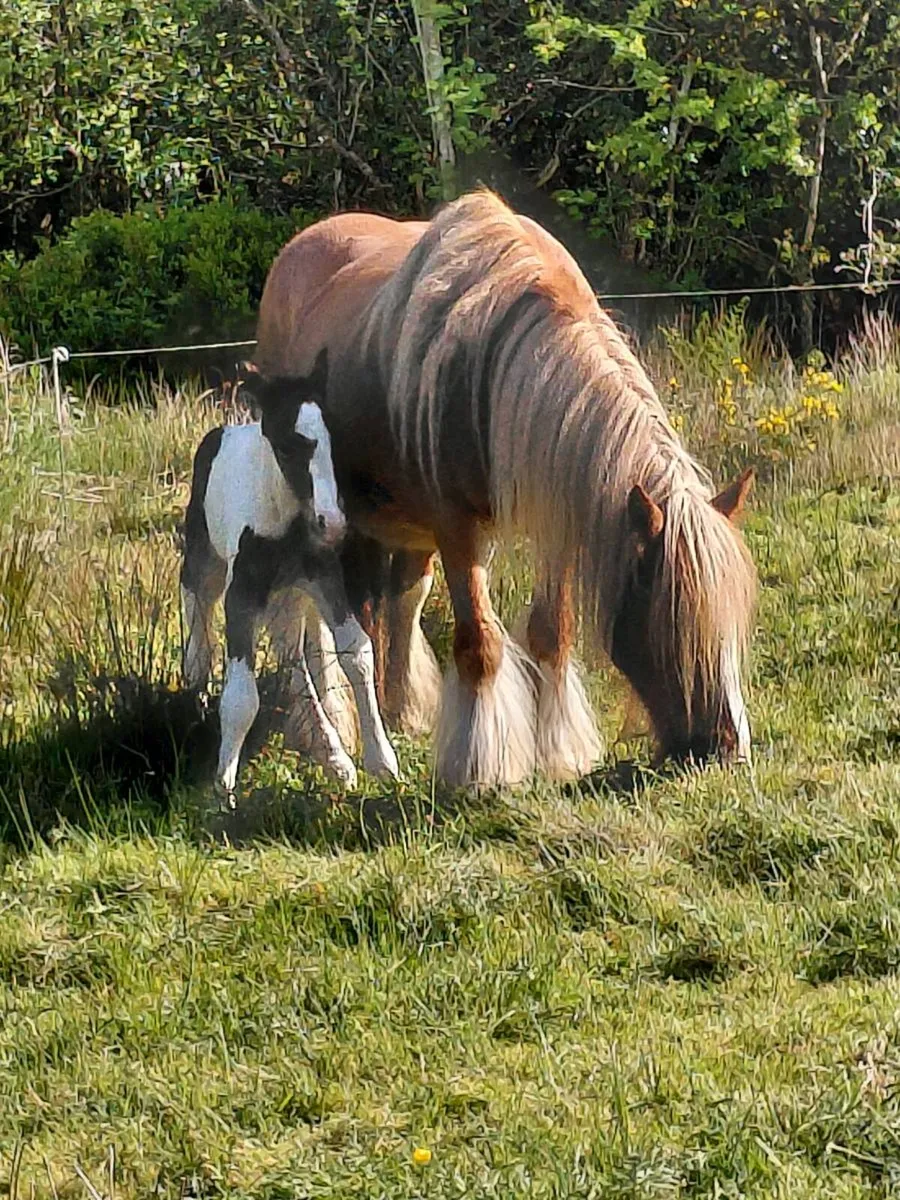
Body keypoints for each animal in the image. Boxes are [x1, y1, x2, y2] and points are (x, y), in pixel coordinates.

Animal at [180, 350, 400, 796]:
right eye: (286, 445)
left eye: (338, 441)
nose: (333, 524)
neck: (286, 523)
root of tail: (223, 432)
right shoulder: (241, 593)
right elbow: (242, 695)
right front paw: (224, 784)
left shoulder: (327, 581)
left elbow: (358, 655)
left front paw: (381, 759)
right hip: (205, 553)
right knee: (195, 594)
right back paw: (195, 671)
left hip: (290, 595)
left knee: (291, 654)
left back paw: (335, 759)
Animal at [251, 191, 758, 788]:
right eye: (673, 620)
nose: (725, 748)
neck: (491, 365)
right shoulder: (456, 528)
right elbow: (479, 643)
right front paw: (481, 769)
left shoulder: (556, 515)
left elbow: (551, 632)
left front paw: (558, 750)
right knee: (316, 625)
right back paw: (330, 726)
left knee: (398, 604)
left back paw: (399, 711)